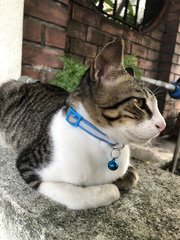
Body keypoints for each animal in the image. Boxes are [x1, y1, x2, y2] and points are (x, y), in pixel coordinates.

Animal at [0, 39, 166, 210]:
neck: (101, 142)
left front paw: (123, 177)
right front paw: (109, 187)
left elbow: (132, 175)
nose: (163, 125)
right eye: (139, 102)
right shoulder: (30, 165)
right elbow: (83, 196)